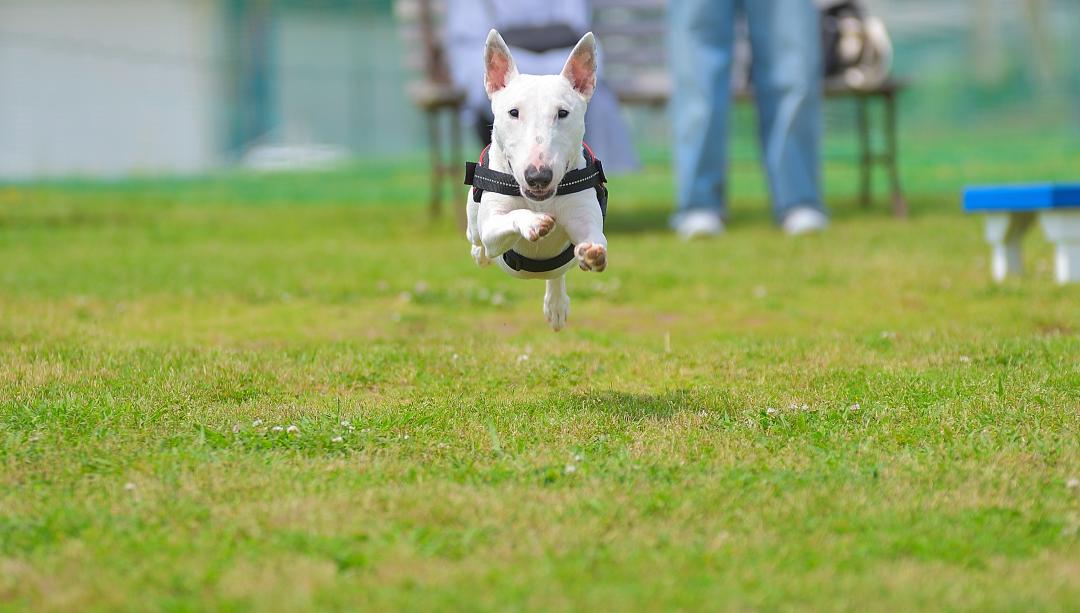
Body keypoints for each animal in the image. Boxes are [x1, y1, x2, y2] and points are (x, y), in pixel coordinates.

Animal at [466, 31, 613, 332]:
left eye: (563, 113)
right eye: (513, 112)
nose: (537, 177)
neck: (540, 202)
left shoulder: (584, 219)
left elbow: (594, 238)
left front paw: (593, 253)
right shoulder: (492, 227)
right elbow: (505, 220)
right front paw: (533, 223)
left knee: (556, 274)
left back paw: (556, 306)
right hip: (473, 221)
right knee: (475, 236)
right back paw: (480, 254)